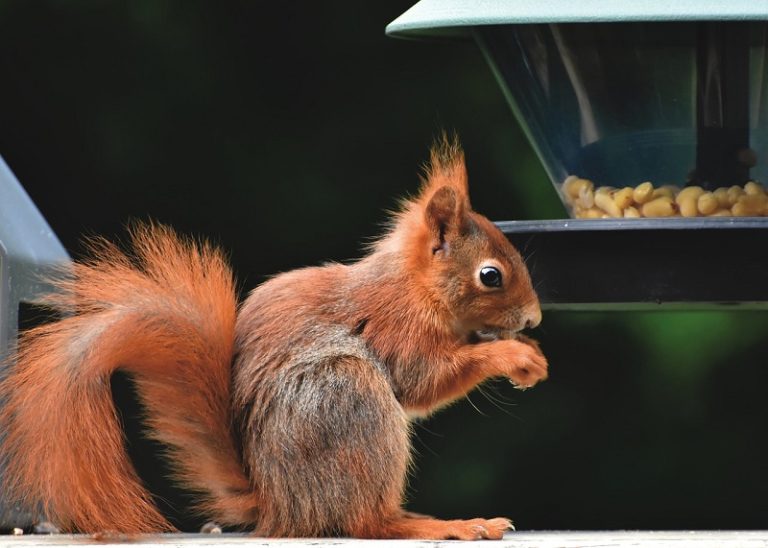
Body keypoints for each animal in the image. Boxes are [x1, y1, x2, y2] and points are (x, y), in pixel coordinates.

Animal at [0, 136, 547, 540]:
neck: (415, 286)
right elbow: (424, 381)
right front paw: (514, 355)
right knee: (365, 522)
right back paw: (442, 525)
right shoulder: (397, 328)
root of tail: (280, 506)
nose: (534, 320)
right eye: (491, 276)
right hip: (346, 397)